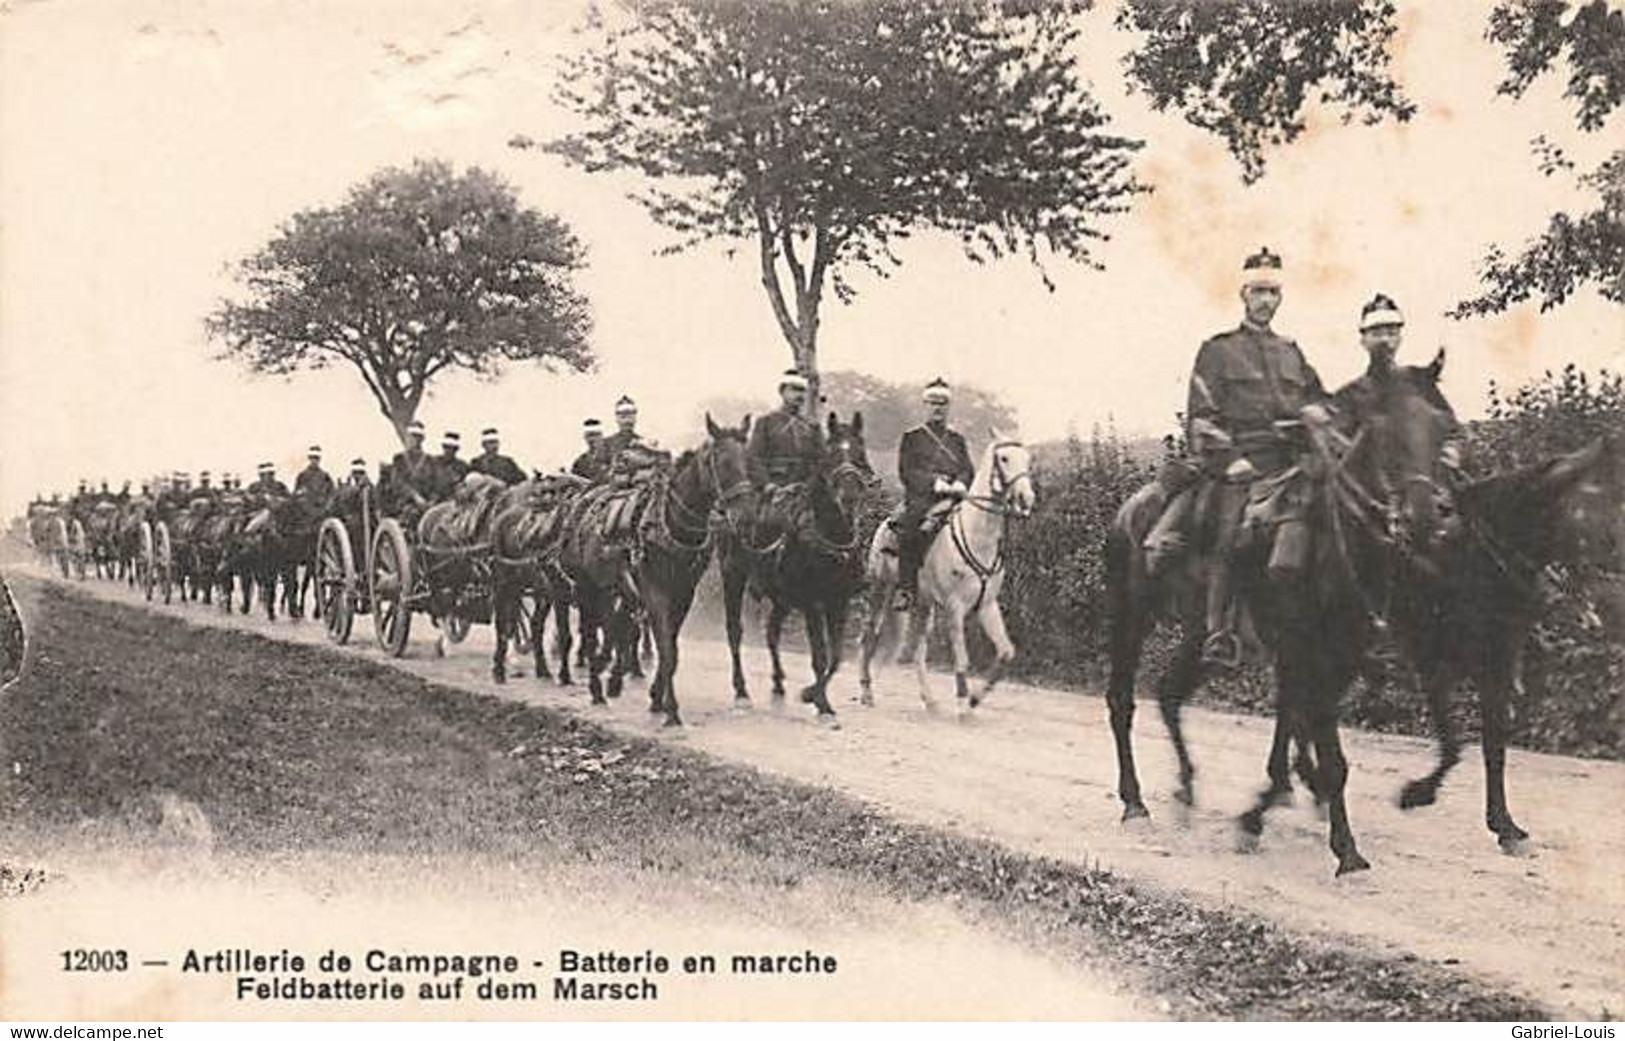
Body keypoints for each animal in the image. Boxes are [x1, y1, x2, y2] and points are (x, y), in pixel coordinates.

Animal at [559, 412, 760, 721]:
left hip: (616, 589)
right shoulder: (655, 591)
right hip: (586, 588)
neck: (671, 525)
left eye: (748, 461)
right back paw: (596, 689)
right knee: (592, 634)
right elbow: (667, 649)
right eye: (723, 462)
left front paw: (657, 698)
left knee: (619, 627)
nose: (746, 516)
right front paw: (672, 711)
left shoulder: (683, 593)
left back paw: (612, 677)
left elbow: (669, 646)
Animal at [721, 409, 877, 717]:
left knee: (771, 632)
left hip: (782, 597)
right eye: (831, 454)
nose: (849, 496)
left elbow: (836, 656)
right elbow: (820, 656)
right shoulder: (813, 603)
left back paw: (778, 684)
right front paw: (821, 703)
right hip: (732, 576)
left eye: (860, 451)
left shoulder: (838, 600)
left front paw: (812, 694)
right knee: (735, 632)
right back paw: (741, 691)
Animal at [858, 428, 1033, 714]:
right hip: (881, 591)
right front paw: (963, 703)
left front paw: (975, 698)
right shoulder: (955, 607)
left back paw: (929, 700)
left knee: (918, 650)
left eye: (1028, 459)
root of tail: (886, 523)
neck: (977, 536)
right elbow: (962, 659)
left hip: (924, 604)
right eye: (1004, 458)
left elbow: (1006, 652)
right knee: (869, 637)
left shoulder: (987, 605)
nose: (1026, 499)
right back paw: (866, 692)